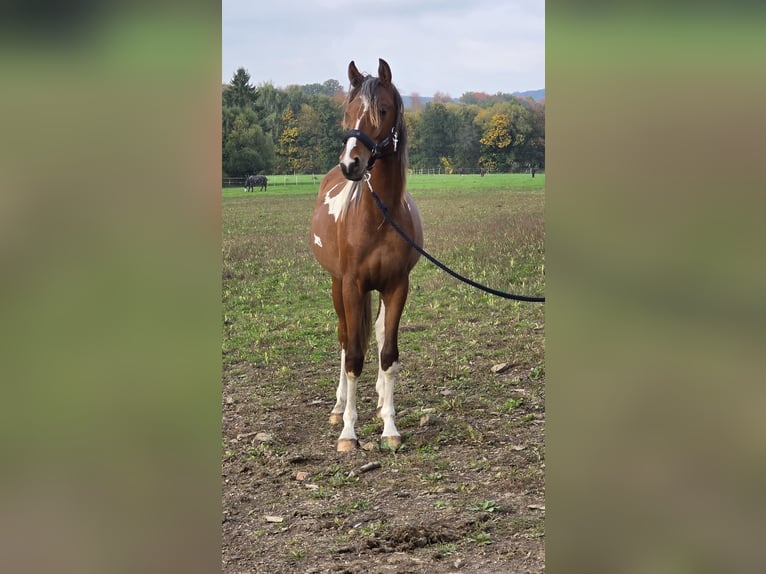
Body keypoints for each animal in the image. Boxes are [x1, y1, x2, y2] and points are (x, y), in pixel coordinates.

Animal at [310, 59, 423, 452]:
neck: (379, 216)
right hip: (336, 285)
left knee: (372, 332)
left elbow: (388, 354)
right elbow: (354, 356)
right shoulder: (351, 284)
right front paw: (348, 432)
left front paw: (389, 425)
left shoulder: (396, 286)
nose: (351, 164)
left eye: (382, 111)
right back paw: (338, 407)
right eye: (348, 112)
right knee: (346, 339)